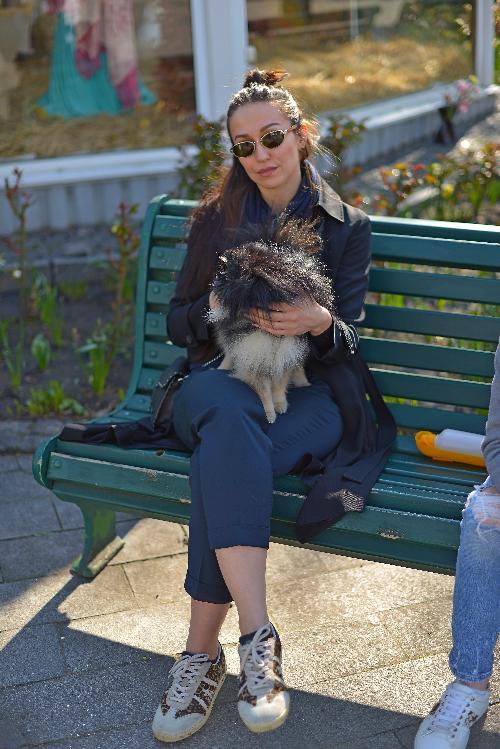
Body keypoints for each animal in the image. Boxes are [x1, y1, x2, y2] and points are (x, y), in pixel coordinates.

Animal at [207, 219, 336, 424]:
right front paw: (269, 414)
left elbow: (279, 384)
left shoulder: (284, 353)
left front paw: (280, 404)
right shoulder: (253, 355)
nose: (217, 281)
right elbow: (263, 390)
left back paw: (302, 381)